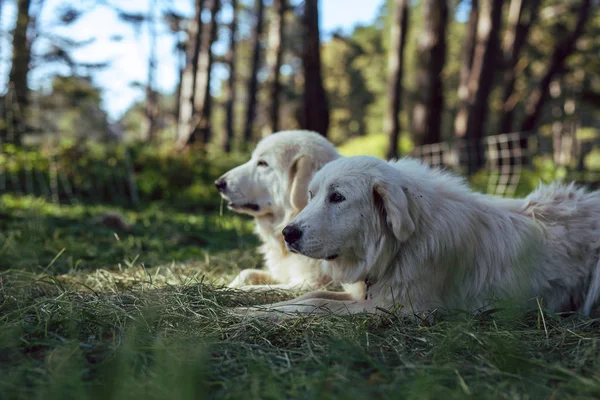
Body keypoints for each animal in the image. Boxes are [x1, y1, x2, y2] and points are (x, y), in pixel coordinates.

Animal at [243, 155, 600, 318]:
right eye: (312, 194)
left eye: (337, 197)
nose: (288, 233)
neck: (399, 246)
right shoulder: (369, 296)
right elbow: (311, 296)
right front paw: (249, 311)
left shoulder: (399, 308)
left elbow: (315, 304)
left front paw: (243, 314)